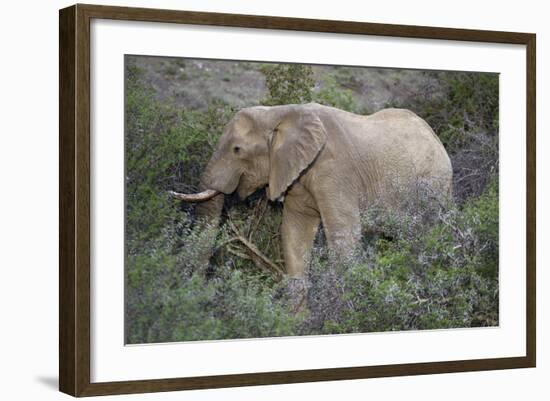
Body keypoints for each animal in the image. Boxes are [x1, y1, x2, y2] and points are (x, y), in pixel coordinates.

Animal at [172, 102, 452, 300]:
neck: (280, 113)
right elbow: (294, 233)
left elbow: (344, 234)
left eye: (237, 150)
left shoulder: (336, 173)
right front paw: (297, 322)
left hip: (435, 183)